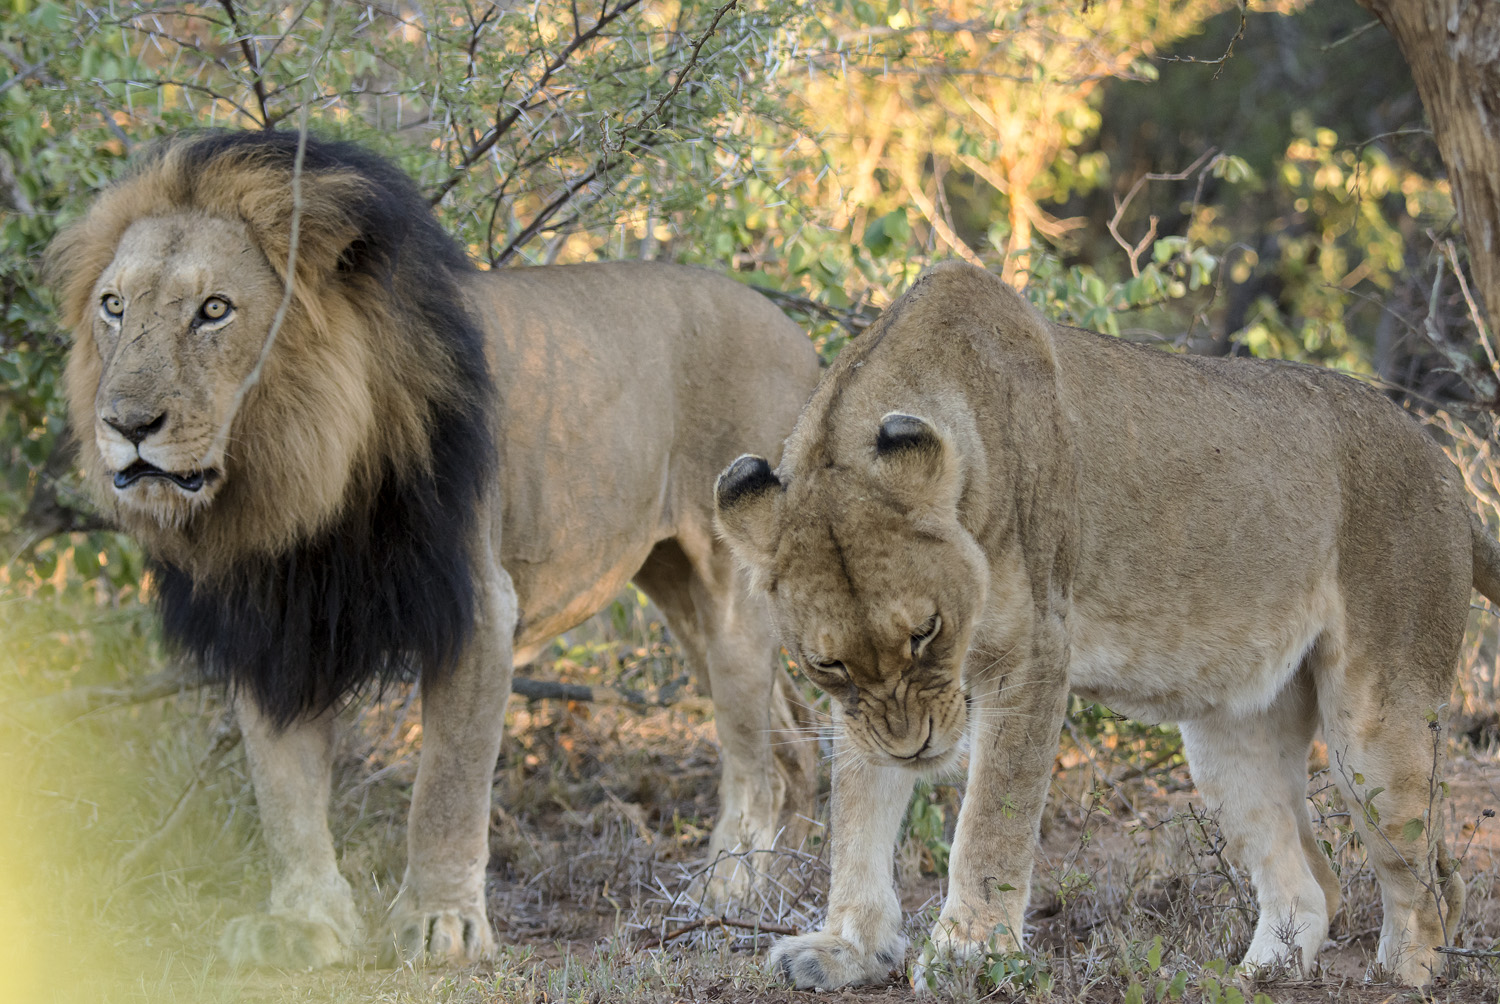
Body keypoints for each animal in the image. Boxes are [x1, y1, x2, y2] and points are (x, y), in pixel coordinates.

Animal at [44, 130, 821, 968]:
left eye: (213, 310)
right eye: (113, 306)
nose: (125, 424)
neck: (299, 480)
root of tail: (802, 338)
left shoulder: (477, 608)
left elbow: (446, 786)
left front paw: (440, 924)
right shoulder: (275, 625)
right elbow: (283, 790)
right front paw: (305, 922)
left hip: (729, 591)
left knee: (757, 760)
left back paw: (729, 891)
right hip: (676, 584)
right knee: (794, 742)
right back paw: (780, 887)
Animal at [715, 260, 1497, 989]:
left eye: (926, 632)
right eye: (829, 664)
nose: (914, 749)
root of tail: (1444, 465)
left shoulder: (1032, 652)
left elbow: (992, 817)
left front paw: (970, 952)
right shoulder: (858, 711)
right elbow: (858, 811)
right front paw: (848, 948)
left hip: (1375, 726)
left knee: (1433, 882)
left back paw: (1401, 975)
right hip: (1231, 735)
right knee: (1311, 884)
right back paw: (1252, 977)